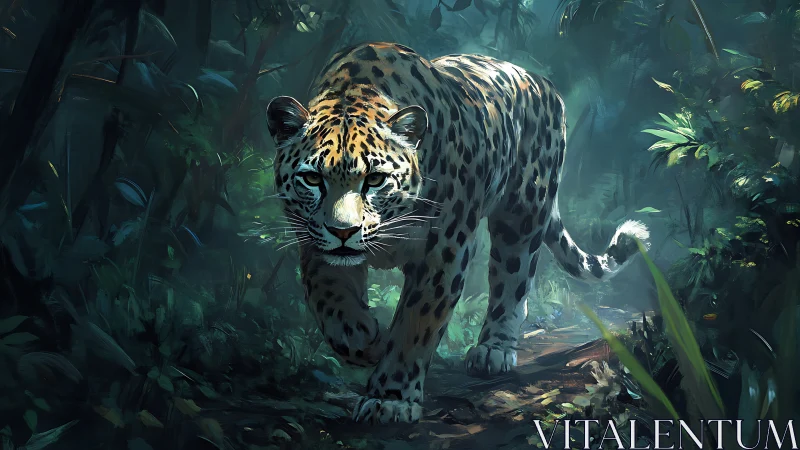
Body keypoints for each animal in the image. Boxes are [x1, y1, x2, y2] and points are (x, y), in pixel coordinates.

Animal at [265, 42, 649, 424]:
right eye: (312, 178)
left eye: (374, 179)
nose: (343, 231)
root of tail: (540, 81)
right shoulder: (314, 241)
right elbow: (328, 299)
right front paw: (363, 339)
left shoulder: (444, 250)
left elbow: (415, 325)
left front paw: (390, 398)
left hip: (523, 212)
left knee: (514, 278)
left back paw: (493, 350)